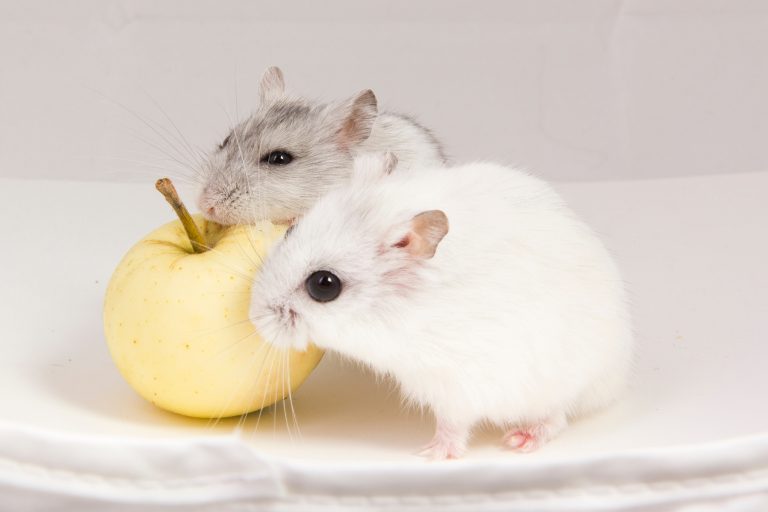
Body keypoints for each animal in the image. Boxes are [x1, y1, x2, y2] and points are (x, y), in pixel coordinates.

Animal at [248, 154, 633, 459]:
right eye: (291, 232)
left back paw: (520, 440)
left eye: (324, 286)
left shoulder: (457, 381)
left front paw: (431, 454)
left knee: (556, 418)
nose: (253, 317)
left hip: (554, 384)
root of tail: (617, 374)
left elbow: (453, 424)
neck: (398, 310)